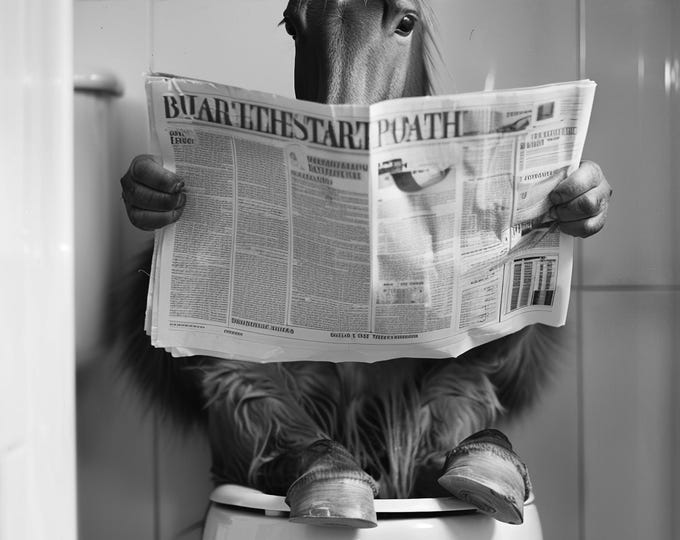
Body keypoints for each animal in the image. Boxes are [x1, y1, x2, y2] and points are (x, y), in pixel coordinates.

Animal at [119, 0, 610, 529]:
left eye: (406, 21)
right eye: (291, 23)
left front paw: (584, 199)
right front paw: (149, 192)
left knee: (447, 425)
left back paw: (484, 469)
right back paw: (334, 480)